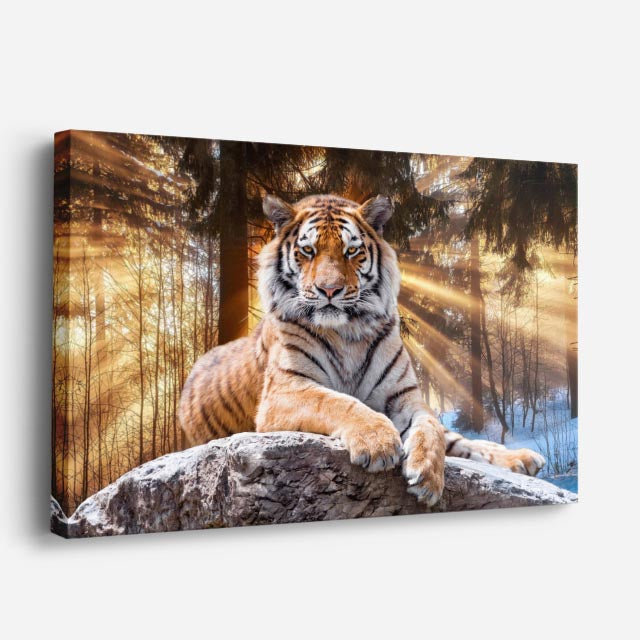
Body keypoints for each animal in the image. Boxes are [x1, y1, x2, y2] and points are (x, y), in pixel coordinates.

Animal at [178, 193, 545, 506]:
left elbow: (430, 428)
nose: (329, 290)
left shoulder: (405, 397)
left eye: (351, 252)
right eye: (308, 251)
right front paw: (378, 442)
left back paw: (523, 459)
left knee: (458, 439)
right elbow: (337, 401)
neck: (348, 331)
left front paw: (427, 476)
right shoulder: (283, 391)